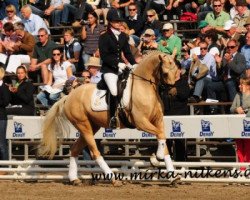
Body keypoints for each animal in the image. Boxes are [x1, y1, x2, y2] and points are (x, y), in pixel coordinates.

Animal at [39, 50, 178, 185]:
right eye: (165, 73)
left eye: (176, 71)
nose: (173, 93)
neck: (144, 88)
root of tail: (69, 96)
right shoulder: (141, 122)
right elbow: (160, 135)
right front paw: (156, 158)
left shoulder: (158, 121)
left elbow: (162, 138)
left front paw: (172, 176)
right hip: (83, 126)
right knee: (95, 153)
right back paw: (113, 179)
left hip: (92, 127)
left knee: (74, 149)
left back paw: (74, 179)